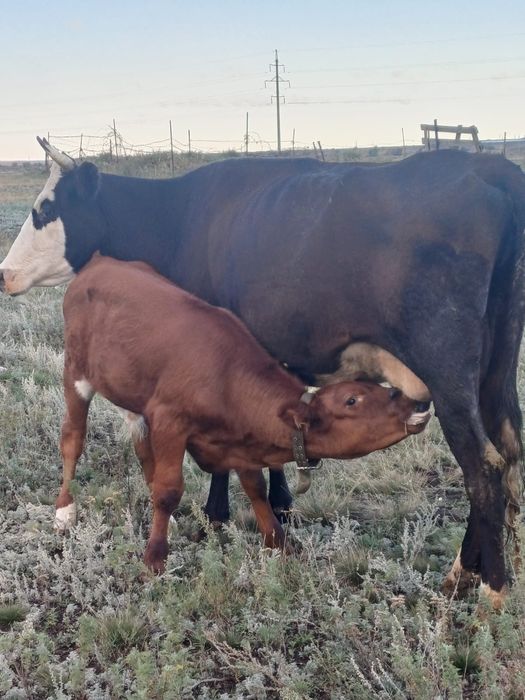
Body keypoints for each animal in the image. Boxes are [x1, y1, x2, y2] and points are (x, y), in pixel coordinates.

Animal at [56, 255, 429, 572]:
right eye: (352, 400)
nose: (413, 401)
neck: (226, 377)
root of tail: (99, 262)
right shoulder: (170, 420)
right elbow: (168, 490)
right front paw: (155, 557)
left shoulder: (239, 441)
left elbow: (256, 487)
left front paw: (281, 543)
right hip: (75, 373)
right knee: (73, 439)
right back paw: (64, 510)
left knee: (141, 446)